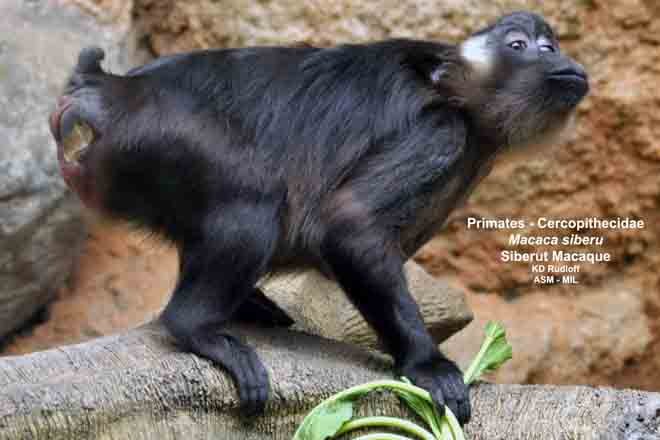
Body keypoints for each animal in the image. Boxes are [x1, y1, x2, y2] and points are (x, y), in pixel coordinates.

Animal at [49, 11, 588, 425]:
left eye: (550, 44)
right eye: (520, 46)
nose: (560, 58)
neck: (459, 93)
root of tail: (109, 90)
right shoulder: (440, 132)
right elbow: (349, 226)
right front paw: (425, 363)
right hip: (155, 138)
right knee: (254, 200)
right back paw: (195, 324)